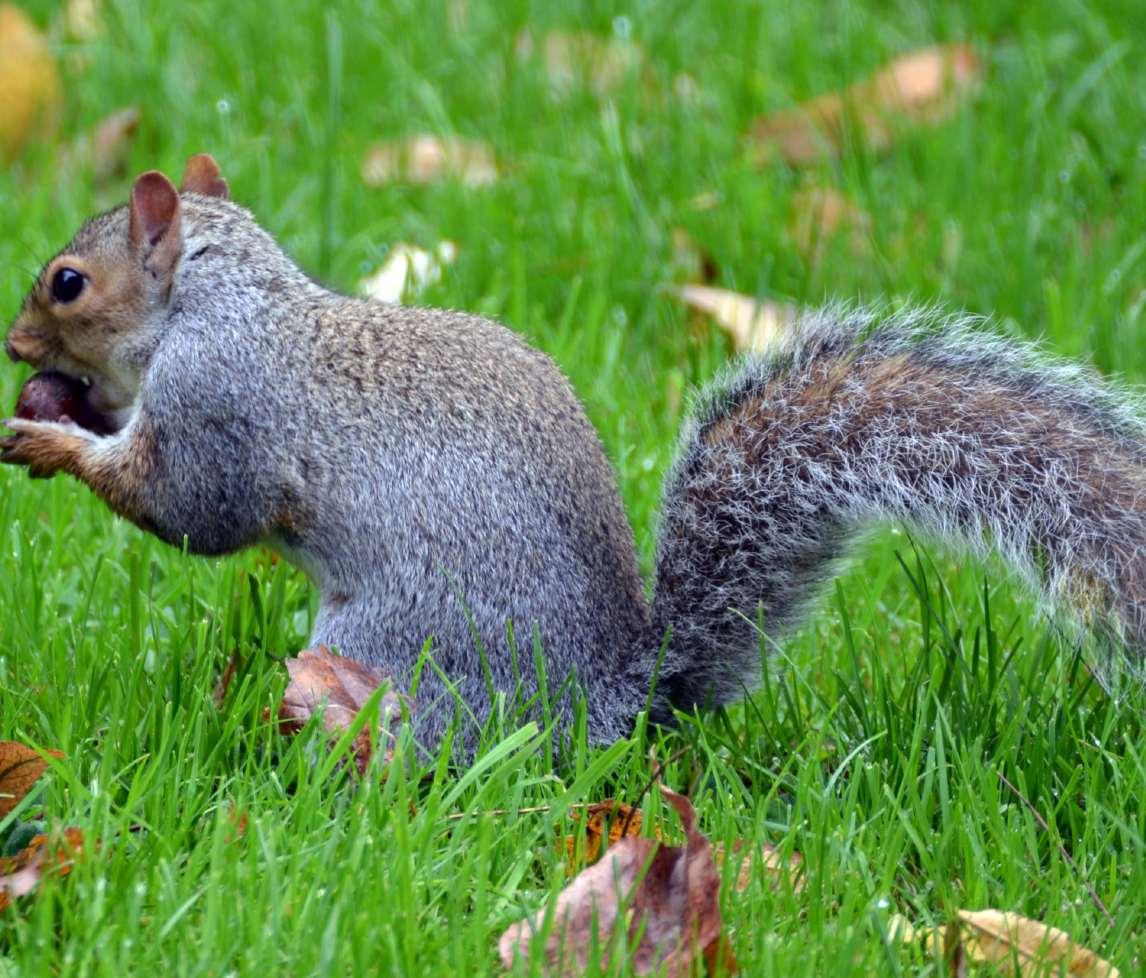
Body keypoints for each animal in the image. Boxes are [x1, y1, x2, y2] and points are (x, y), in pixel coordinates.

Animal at [4, 154, 1145, 751]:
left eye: (67, 282)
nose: (14, 345)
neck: (221, 300)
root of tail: (613, 700)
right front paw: (66, 414)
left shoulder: (222, 404)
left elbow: (194, 509)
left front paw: (48, 438)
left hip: (395, 645)